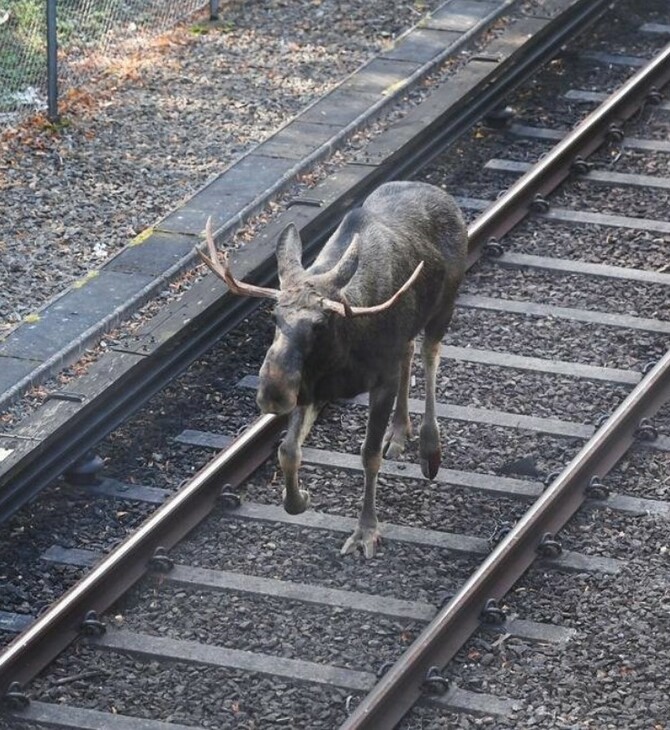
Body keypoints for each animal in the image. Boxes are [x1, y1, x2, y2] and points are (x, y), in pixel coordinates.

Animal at [201, 182, 468, 556]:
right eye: (274, 315)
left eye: (319, 325)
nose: (273, 392)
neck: (343, 353)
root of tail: (444, 197)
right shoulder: (311, 389)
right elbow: (287, 451)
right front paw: (298, 500)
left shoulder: (381, 381)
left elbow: (369, 455)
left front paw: (366, 531)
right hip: (407, 332)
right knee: (410, 351)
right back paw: (400, 431)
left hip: (444, 307)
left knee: (430, 355)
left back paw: (430, 448)